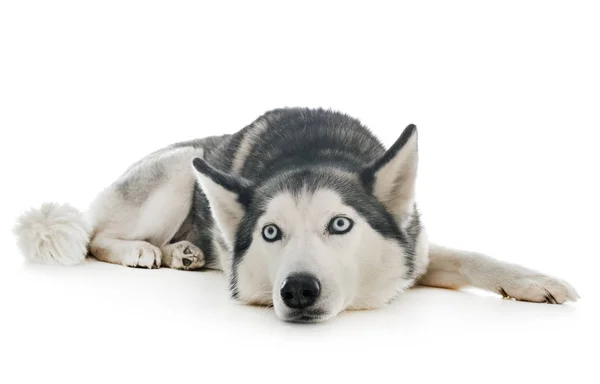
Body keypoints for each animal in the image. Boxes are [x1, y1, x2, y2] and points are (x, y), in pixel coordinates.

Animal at [12, 107, 576, 320]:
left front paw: (533, 282)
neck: (313, 150)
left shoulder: (415, 249)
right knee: (95, 237)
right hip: (177, 168)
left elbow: (473, 257)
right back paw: (139, 250)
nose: (299, 290)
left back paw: (182, 252)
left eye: (341, 224)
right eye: (270, 232)